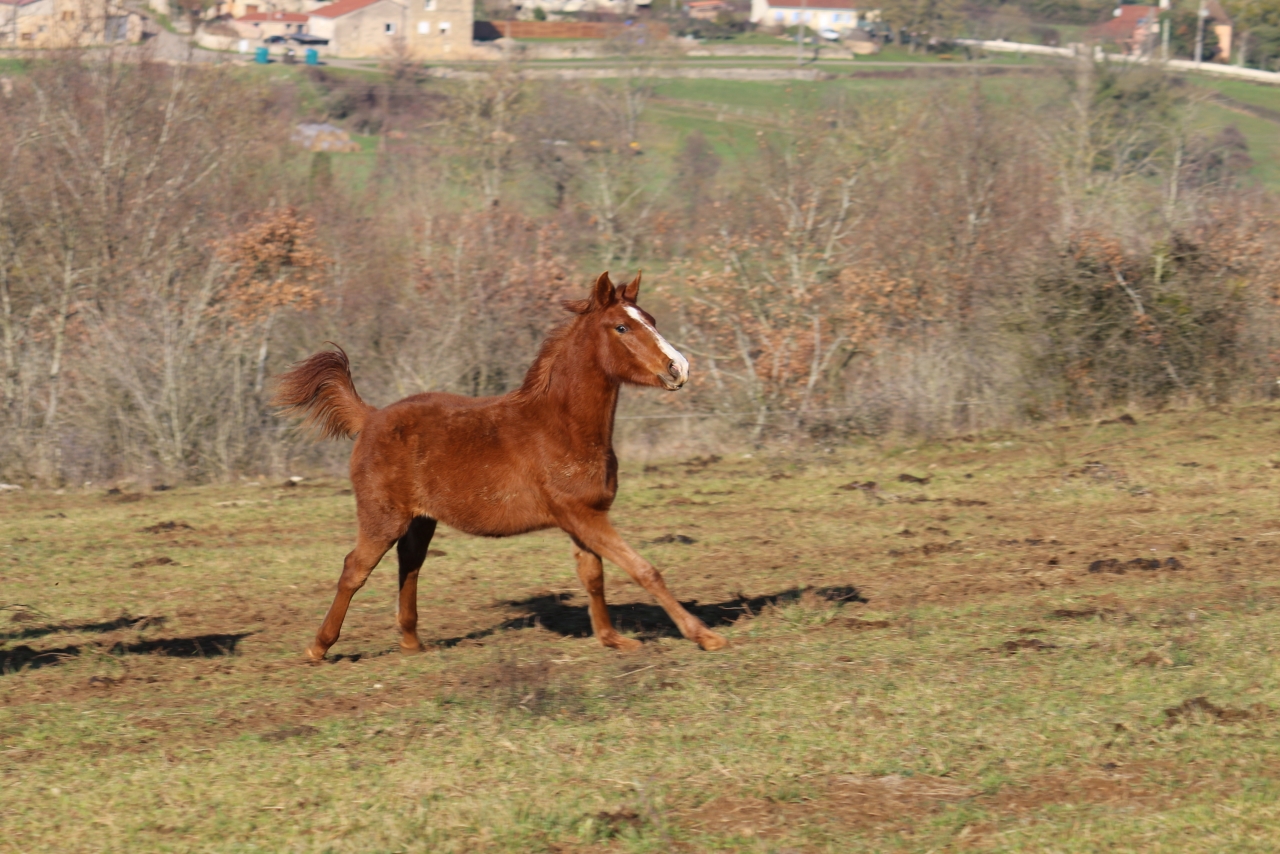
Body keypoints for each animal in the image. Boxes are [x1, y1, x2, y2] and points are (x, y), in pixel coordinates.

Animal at [273, 271, 728, 660]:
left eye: (651, 320)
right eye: (621, 328)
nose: (679, 368)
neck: (562, 426)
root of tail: (369, 418)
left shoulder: (583, 517)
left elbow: (593, 575)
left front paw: (612, 639)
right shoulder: (581, 515)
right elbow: (644, 569)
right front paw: (704, 636)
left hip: (421, 521)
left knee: (410, 564)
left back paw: (412, 642)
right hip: (382, 517)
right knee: (355, 568)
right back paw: (319, 647)